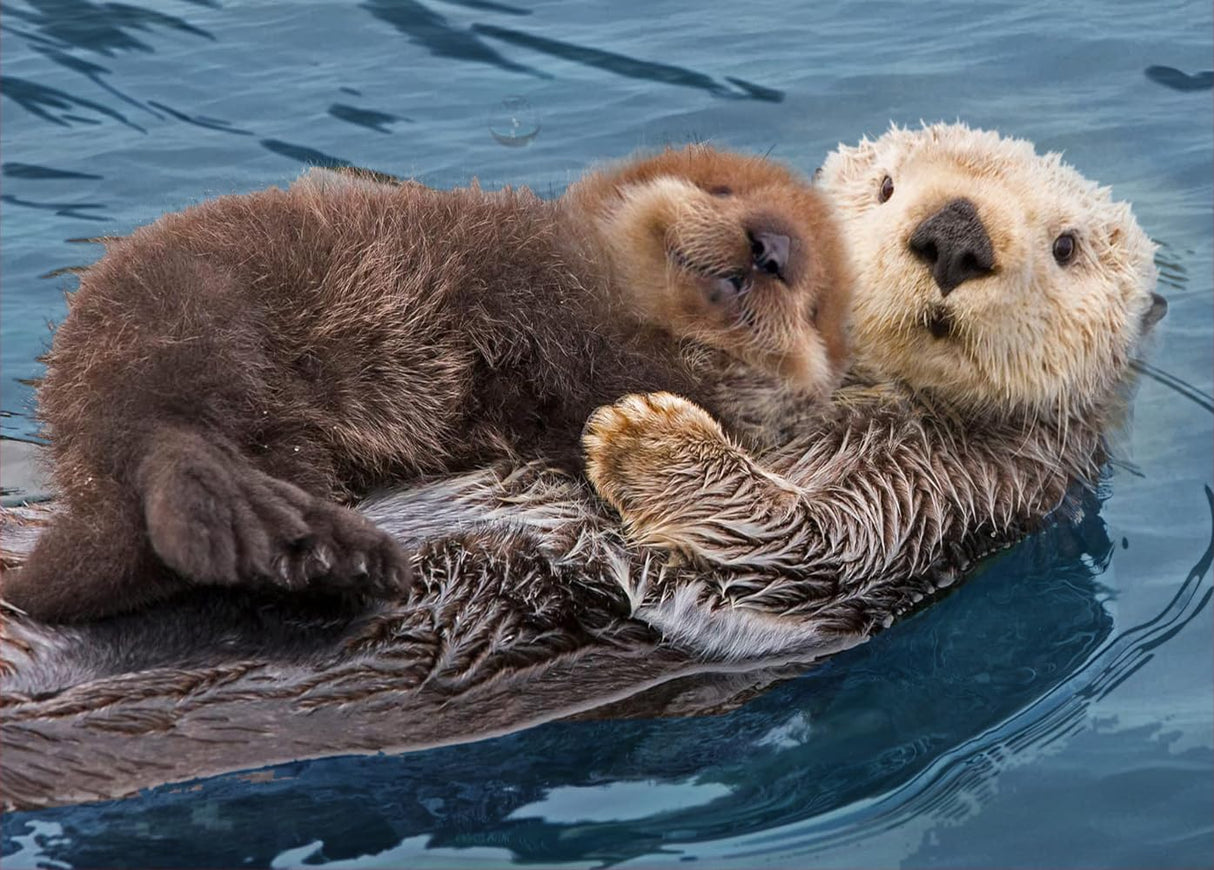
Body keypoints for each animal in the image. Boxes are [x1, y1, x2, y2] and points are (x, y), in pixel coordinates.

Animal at [2, 146, 851, 623]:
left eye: (813, 303)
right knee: (164, 436)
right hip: (190, 308)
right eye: (721, 190)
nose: (770, 247)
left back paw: (314, 550)